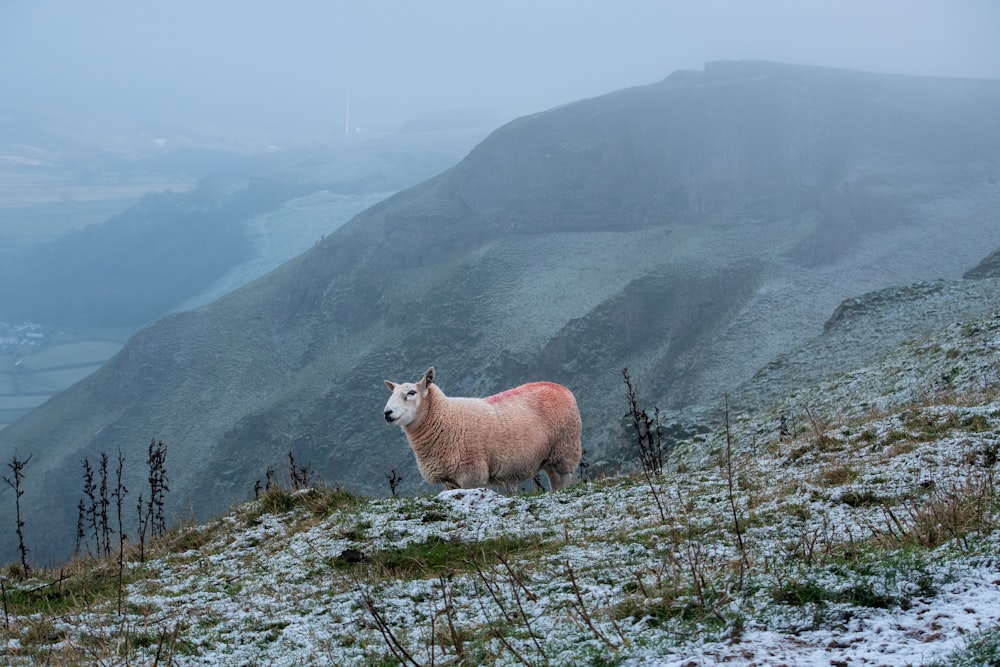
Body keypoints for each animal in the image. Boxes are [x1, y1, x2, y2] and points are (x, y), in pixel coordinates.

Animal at [384, 366, 584, 490]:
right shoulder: (449, 481)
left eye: (411, 393)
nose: (387, 412)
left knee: (564, 480)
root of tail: (560, 387)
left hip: (565, 450)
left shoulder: (471, 474)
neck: (445, 417)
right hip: (548, 457)